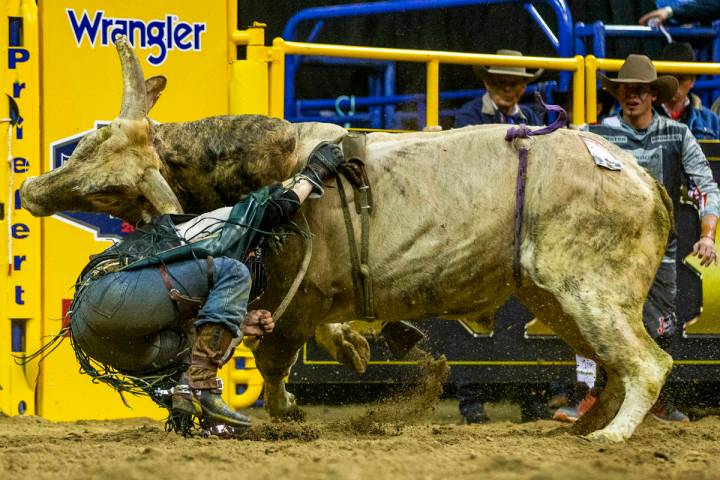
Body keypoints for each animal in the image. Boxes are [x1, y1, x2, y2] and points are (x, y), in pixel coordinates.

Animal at [22, 37, 676, 442]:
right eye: (84, 145)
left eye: (110, 189)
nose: (30, 190)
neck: (278, 160)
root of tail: (645, 179)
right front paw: (361, 345)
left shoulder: (293, 301)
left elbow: (274, 363)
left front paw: (286, 409)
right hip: (554, 298)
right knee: (611, 367)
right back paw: (586, 427)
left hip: (589, 291)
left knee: (647, 363)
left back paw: (612, 436)